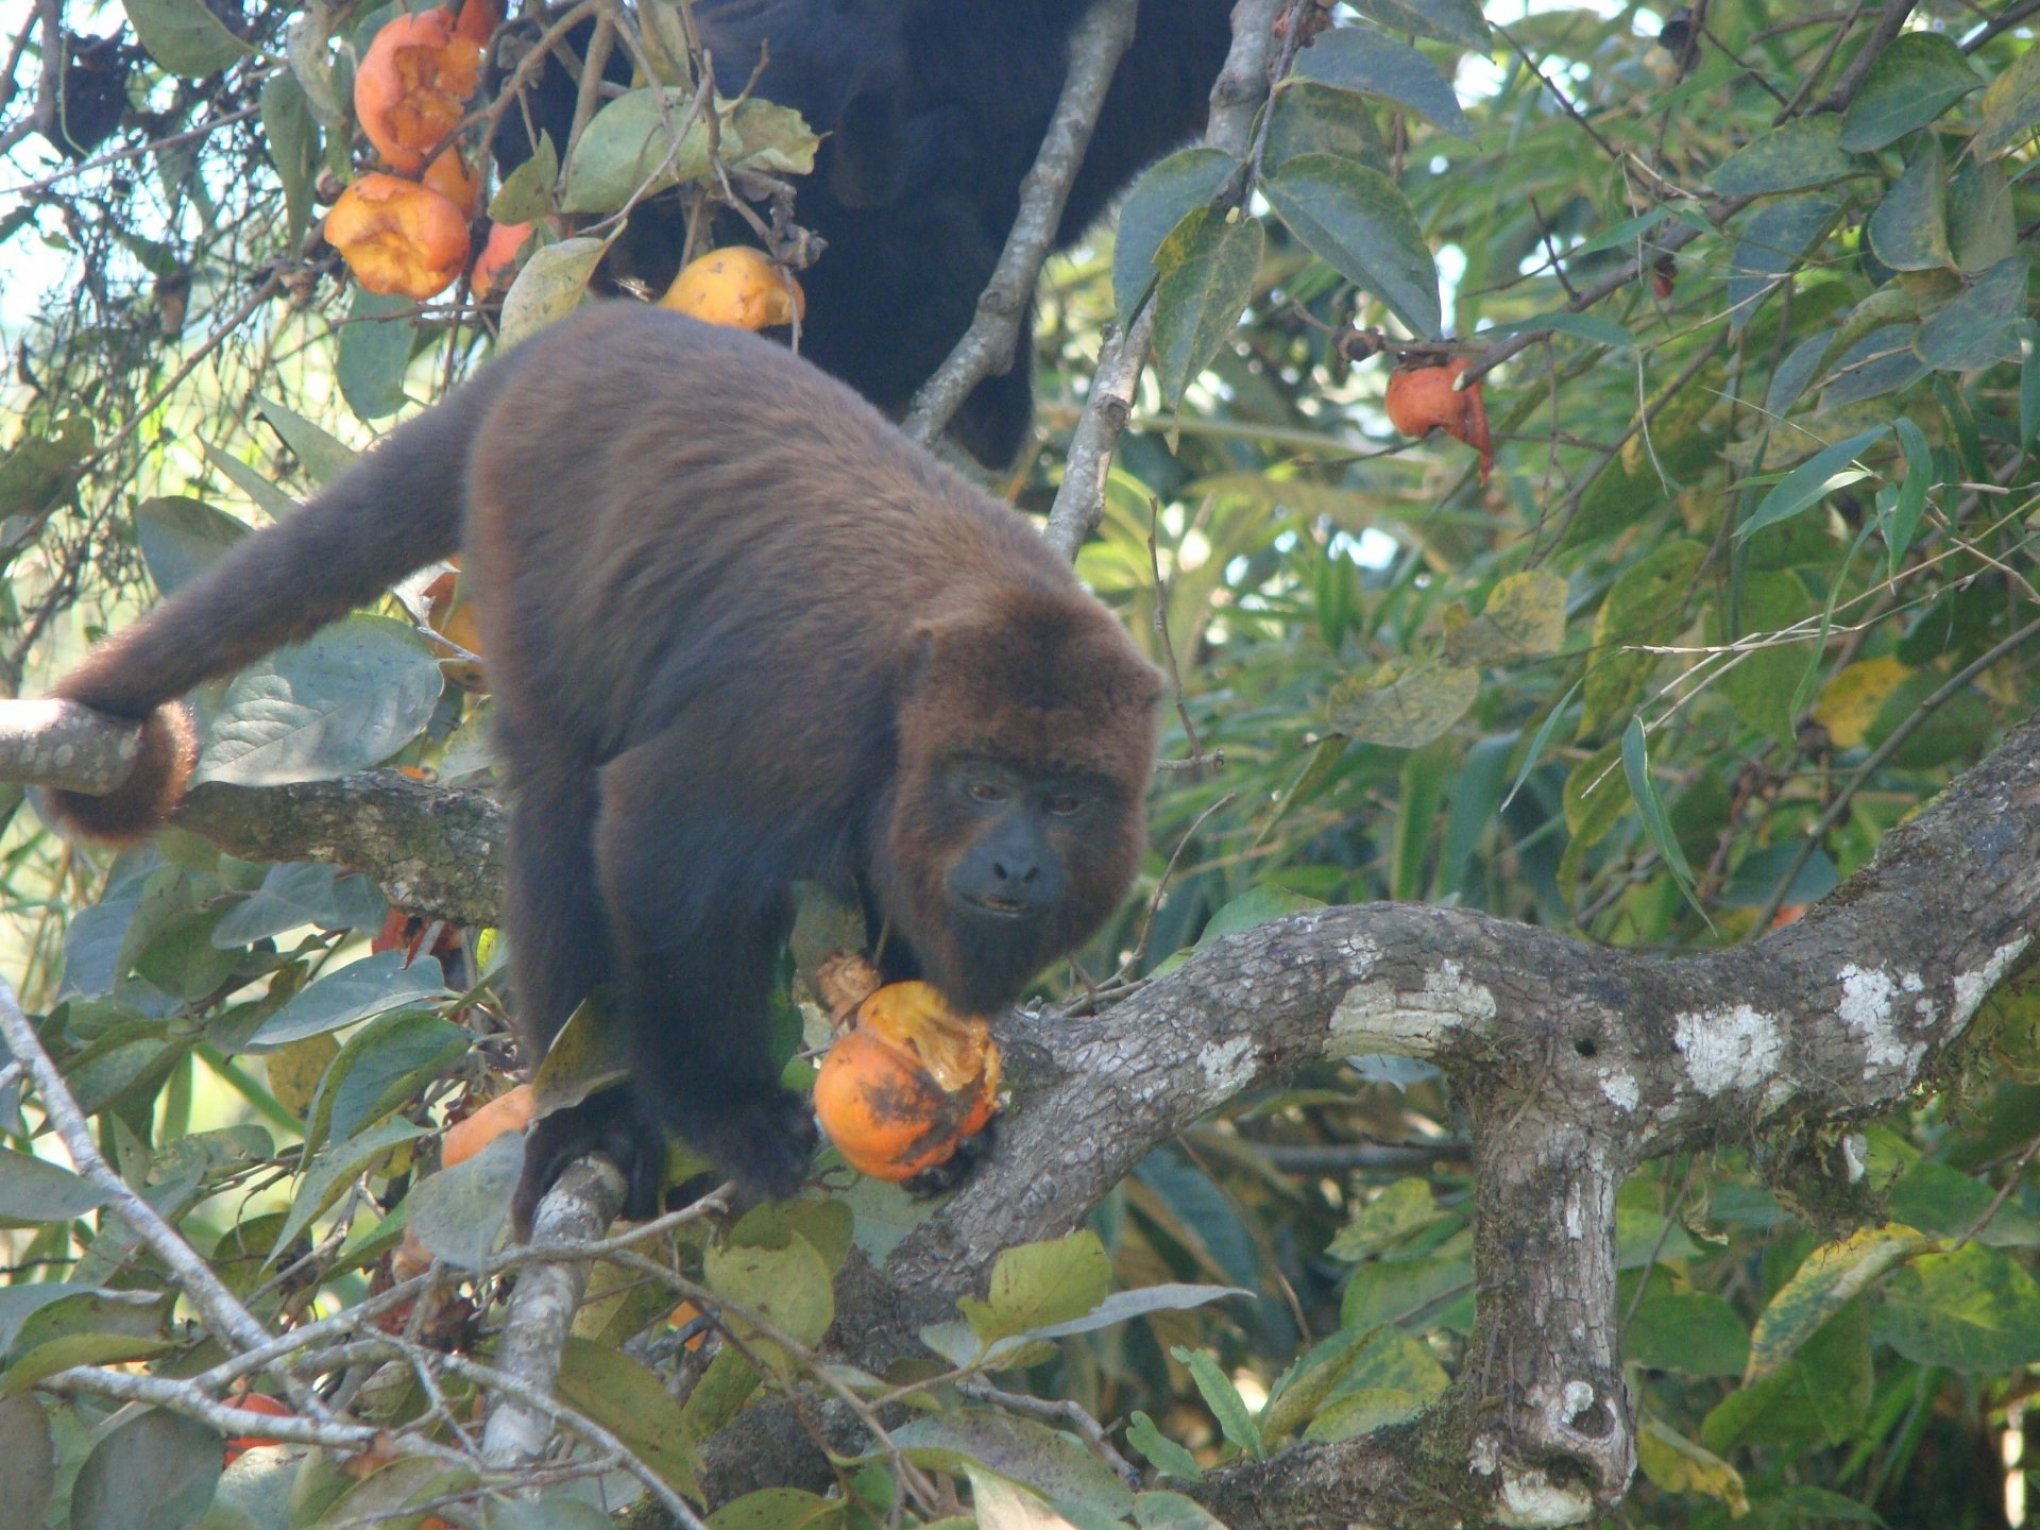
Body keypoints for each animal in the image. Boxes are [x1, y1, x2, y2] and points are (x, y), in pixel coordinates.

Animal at [47, 306, 1166, 1232]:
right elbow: (655, 842)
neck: (910, 718)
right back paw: (583, 1125)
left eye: (1066, 802)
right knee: (561, 810)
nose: (1016, 864)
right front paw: (723, 1112)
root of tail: (571, 341)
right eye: (983, 787)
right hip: (526, 532)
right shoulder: (806, 715)